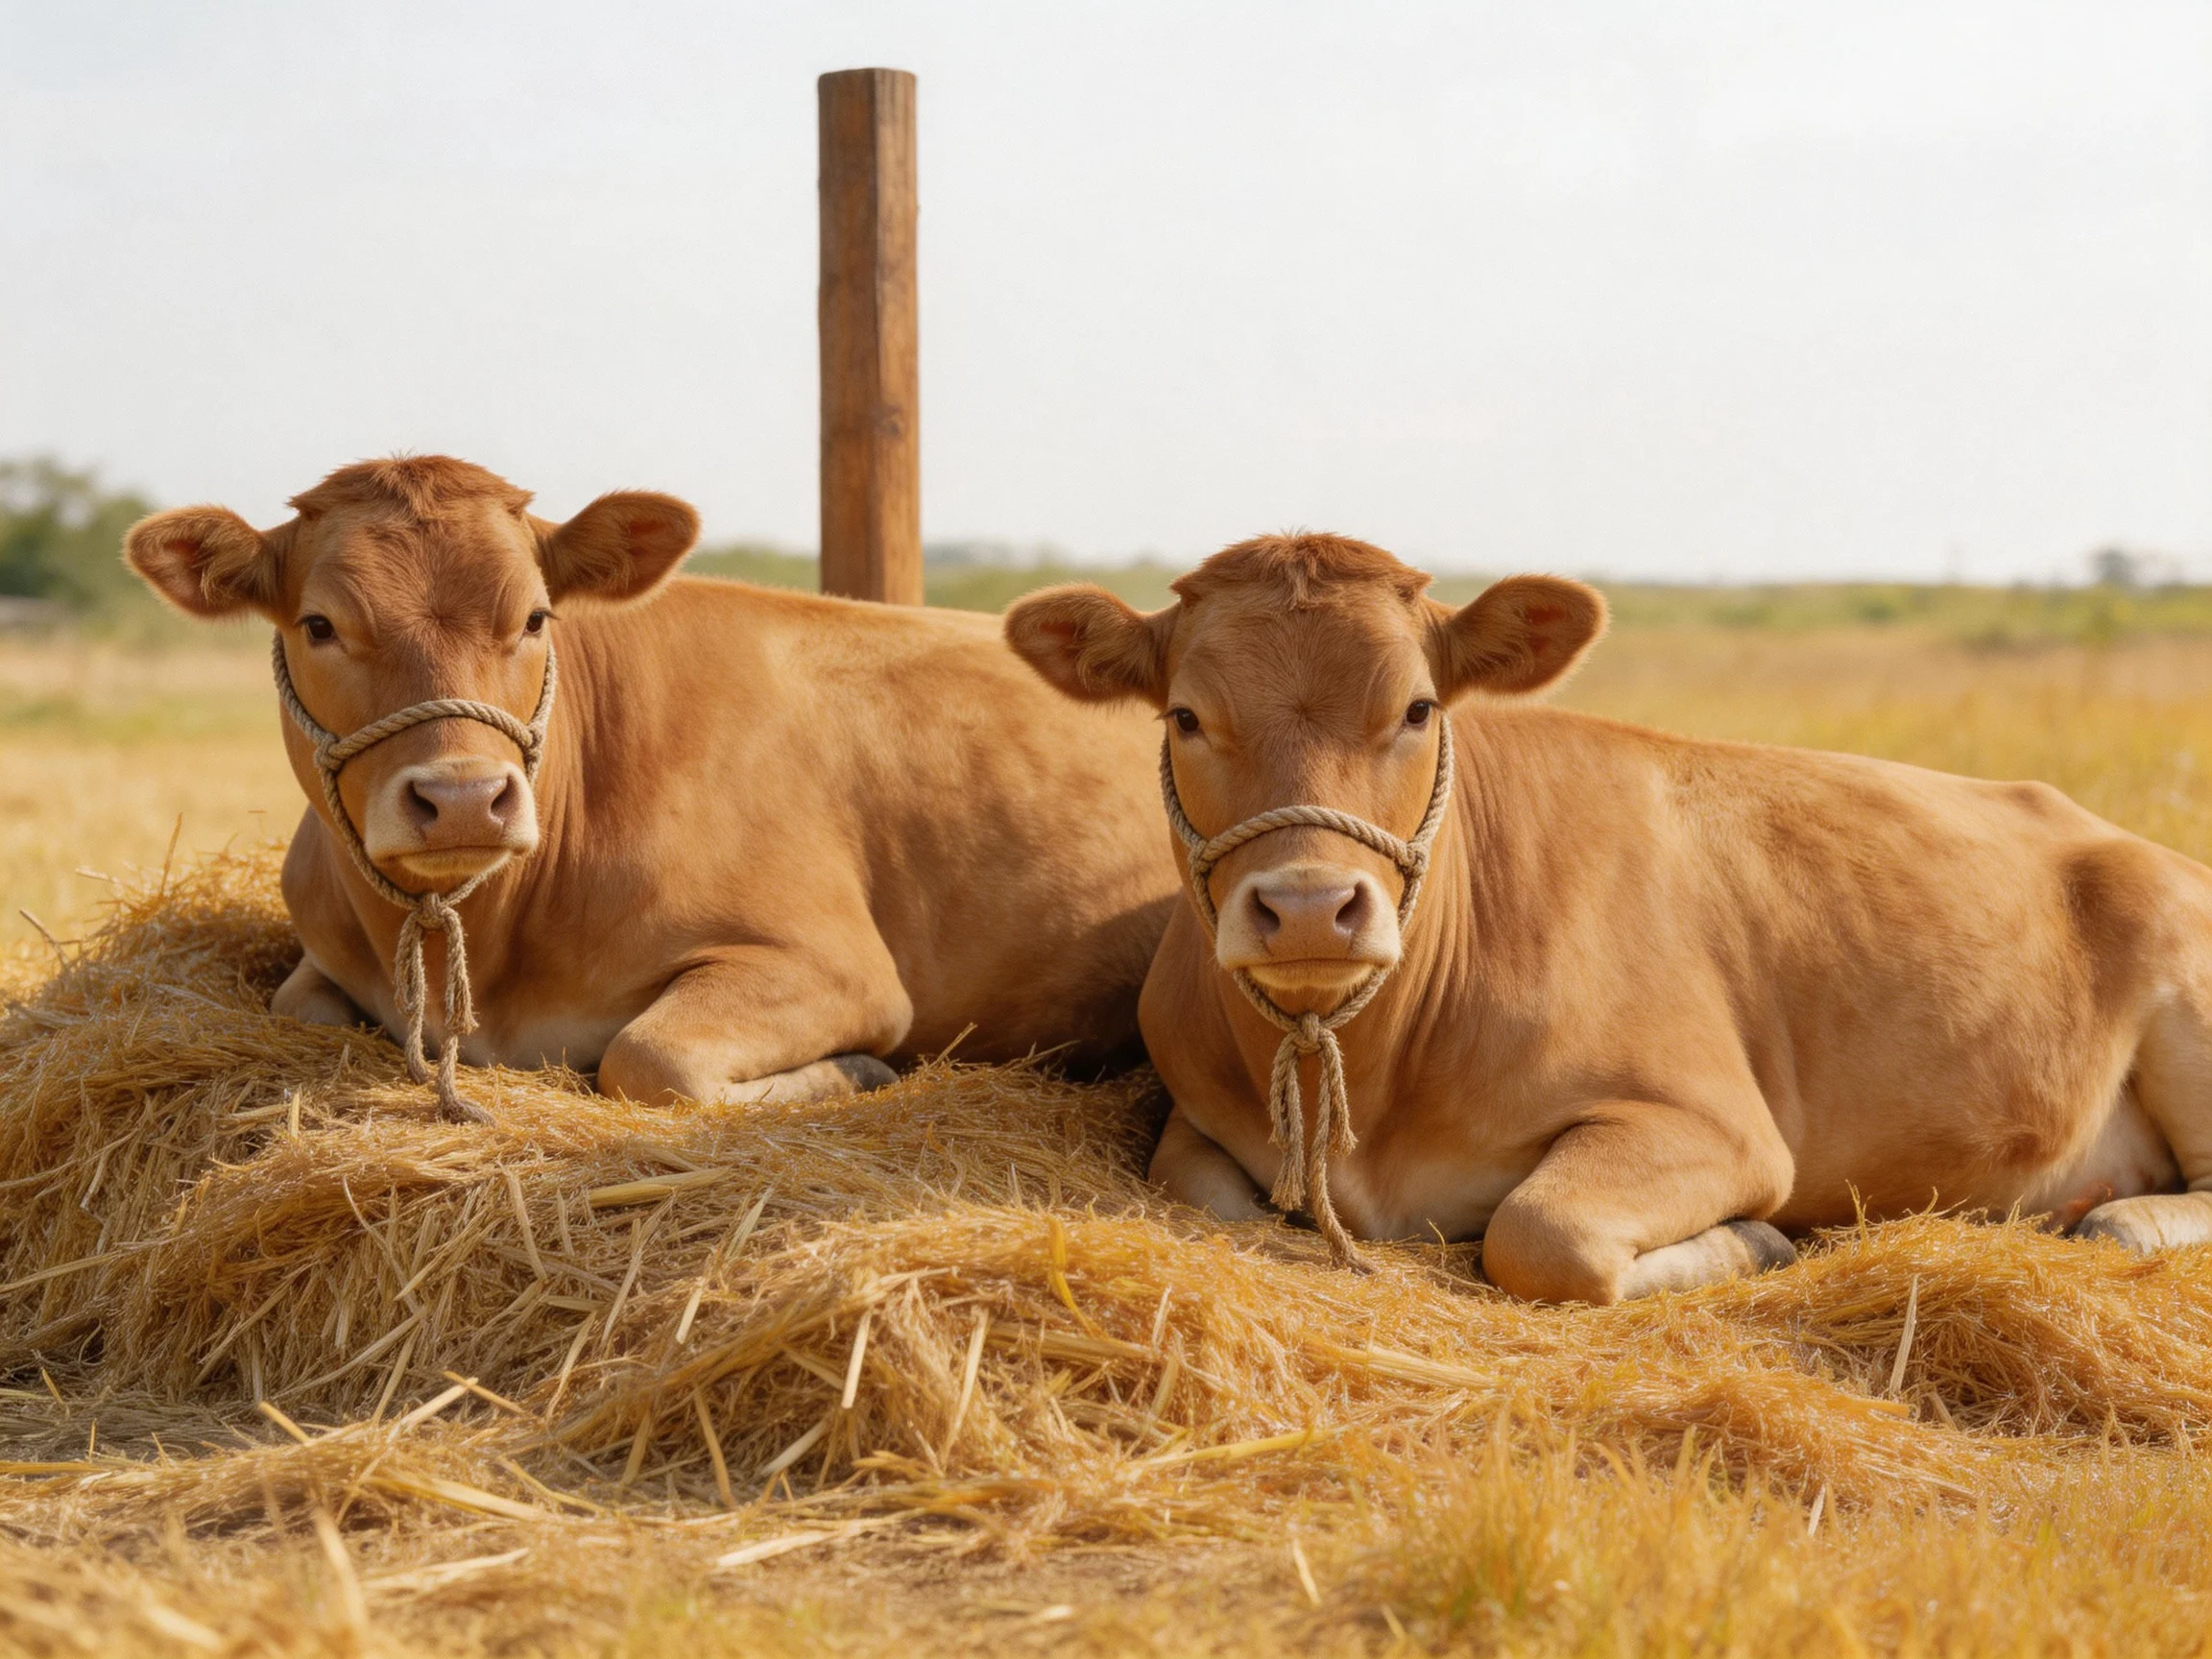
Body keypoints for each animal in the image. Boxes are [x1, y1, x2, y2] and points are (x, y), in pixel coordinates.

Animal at [125, 456, 1177, 1115]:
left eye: (536, 616)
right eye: (319, 626)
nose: (464, 798)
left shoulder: (834, 965)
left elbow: (647, 1057)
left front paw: (862, 1072)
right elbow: (297, 1007)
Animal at [1005, 533, 2212, 1302]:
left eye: (1418, 708)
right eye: (1184, 716)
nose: (1309, 906)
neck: (1384, 1075)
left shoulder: (1715, 1122)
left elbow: (1543, 1234)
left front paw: (1759, 1240)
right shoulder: (1193, 1116)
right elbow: (1217, 1205)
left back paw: (2123, 1216)